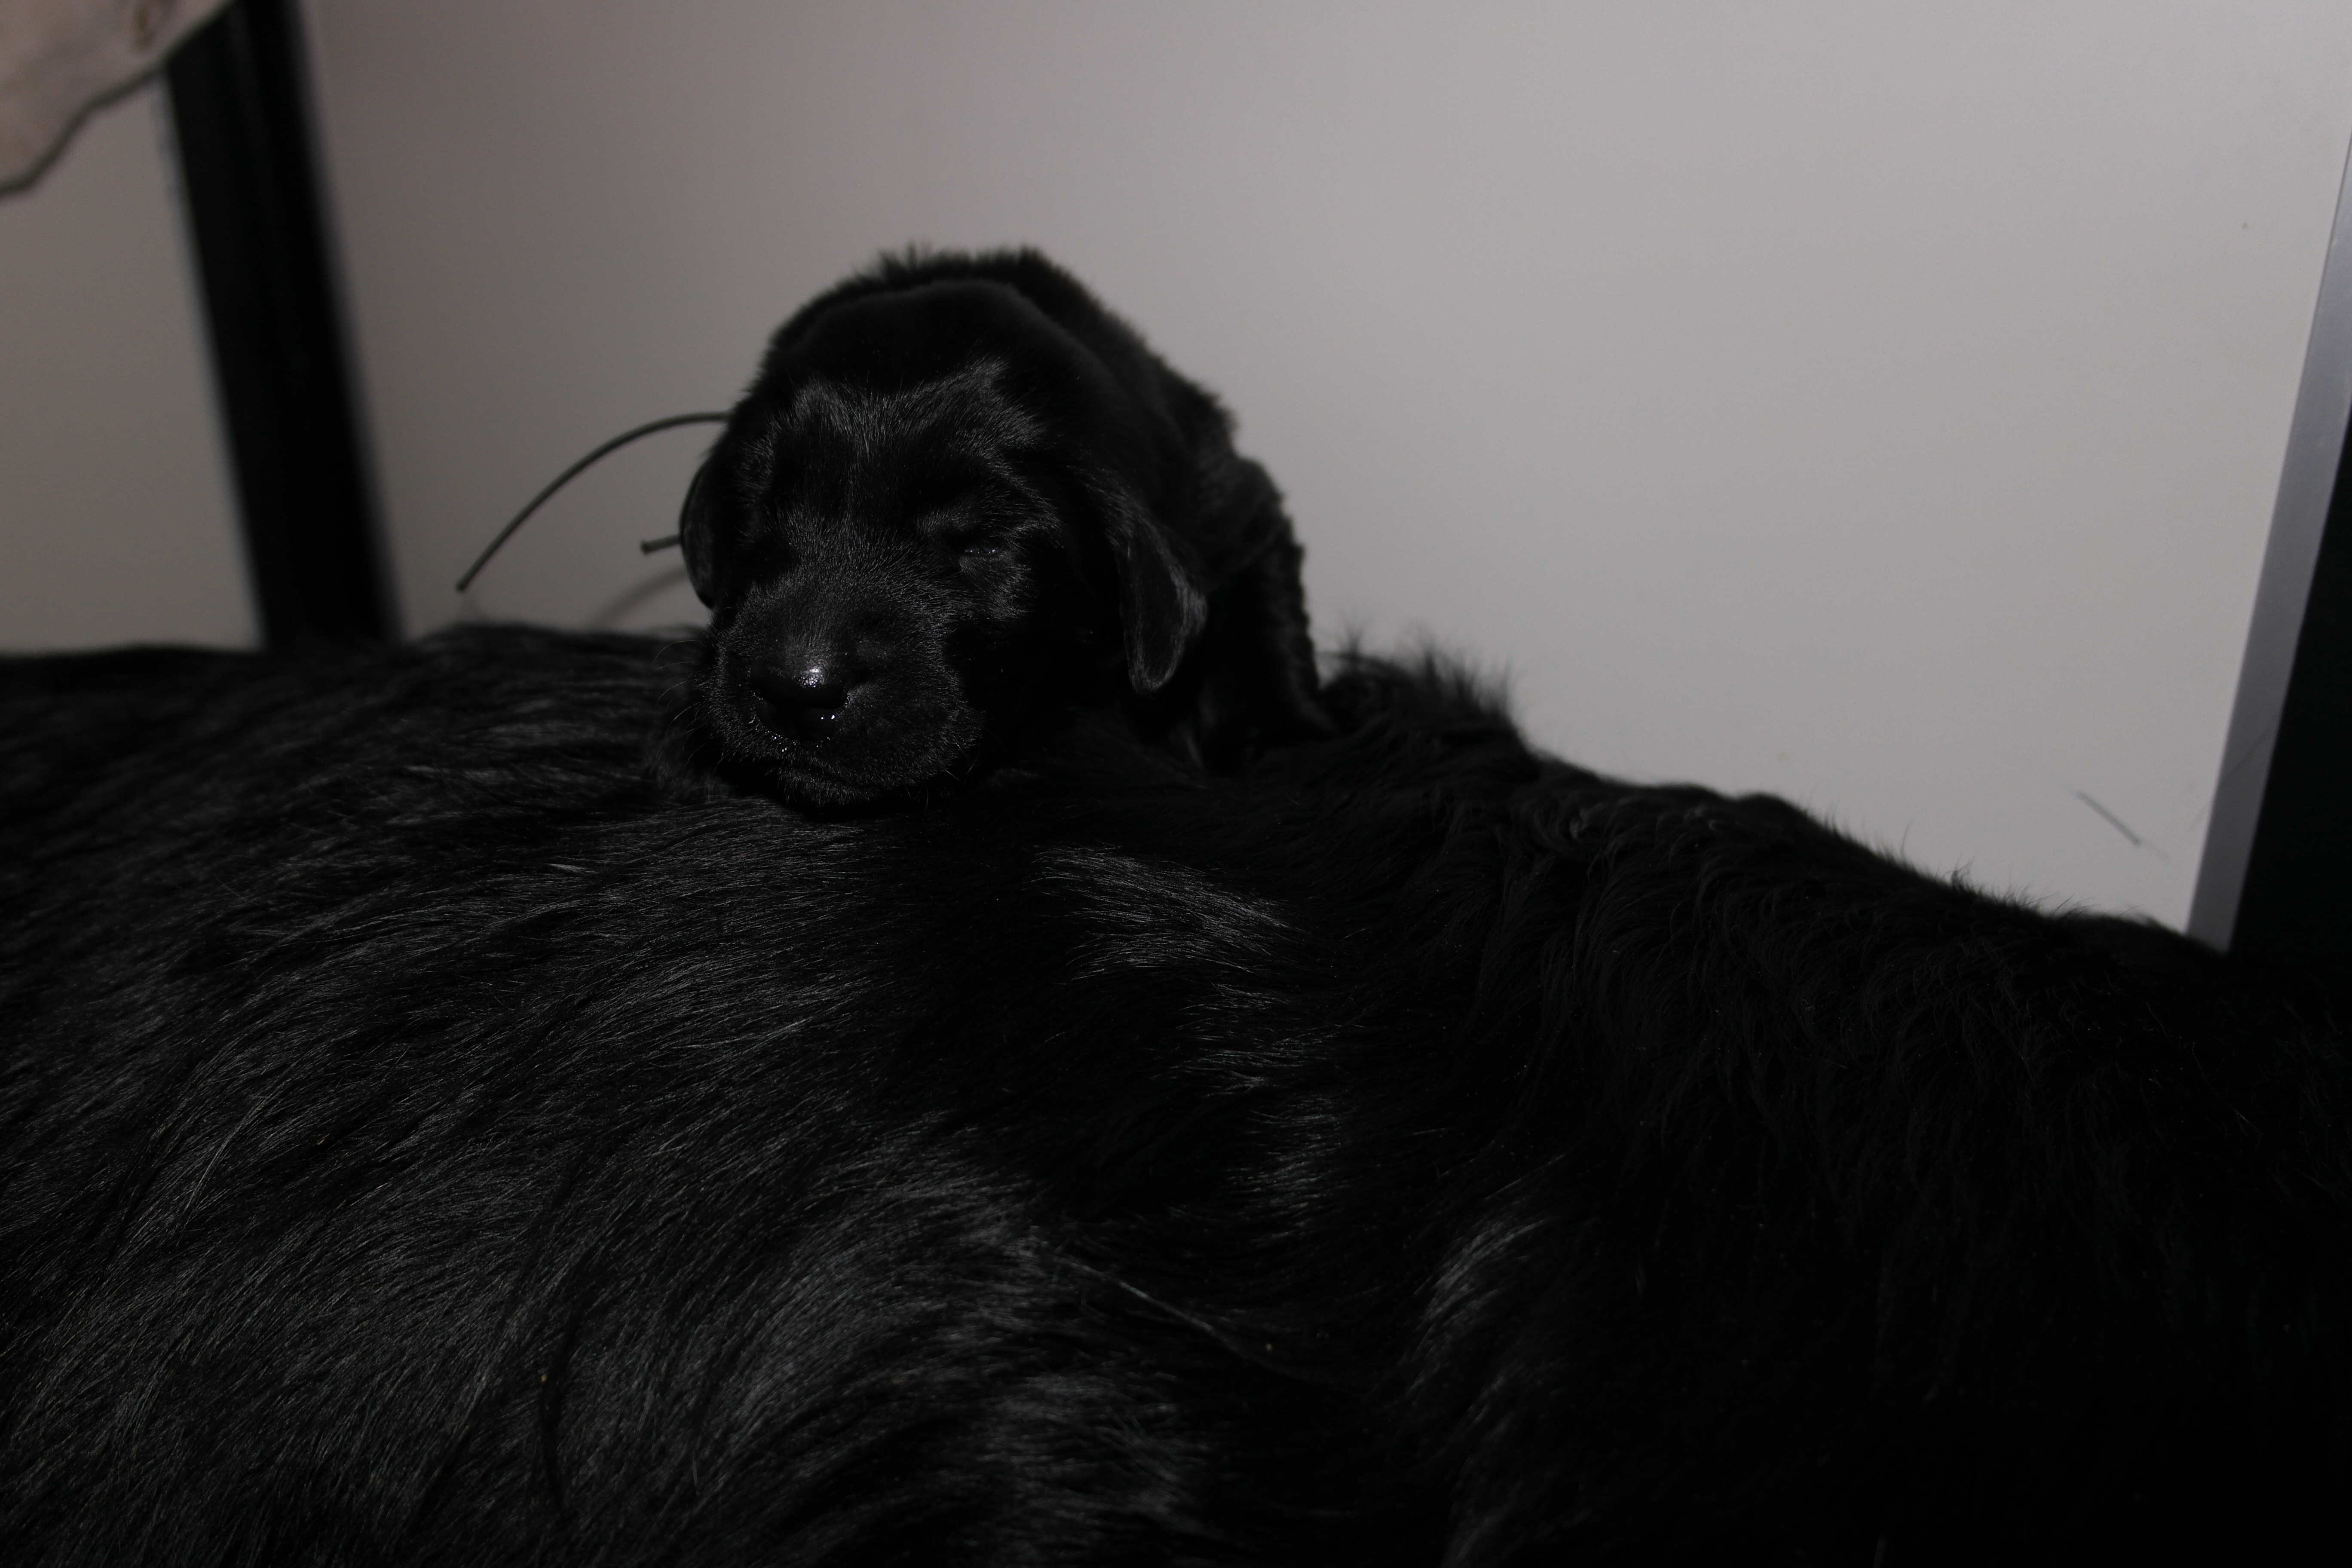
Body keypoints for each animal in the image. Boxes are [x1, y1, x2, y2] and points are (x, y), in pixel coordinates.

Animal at [671, 248, 1326, 808]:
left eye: (984, 544)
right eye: (760, 508)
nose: (794, 691)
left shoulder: (1233, 508)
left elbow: (1255, 633)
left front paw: (1275, 751)